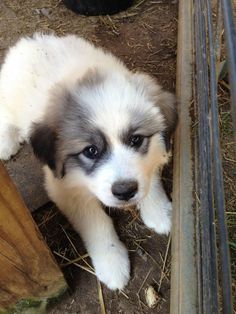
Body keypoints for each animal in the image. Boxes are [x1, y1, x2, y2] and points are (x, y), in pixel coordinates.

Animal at [0, 33, 177, 290]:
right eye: (91, 151)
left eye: (135, 140)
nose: (125, 192)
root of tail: (29, 42)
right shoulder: (64, 187)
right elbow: (96, 223)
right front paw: (112, 261)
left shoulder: (154, 151)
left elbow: (149, 176)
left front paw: (160, 211)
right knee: (5, 114)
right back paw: (6, 141)